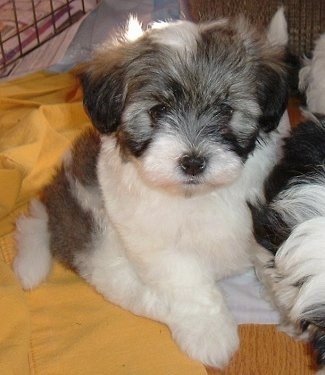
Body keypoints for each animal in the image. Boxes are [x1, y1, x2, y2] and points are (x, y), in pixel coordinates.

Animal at [13, 10, 288, 368]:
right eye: (158, 111)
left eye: (226, 110)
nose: (193, 162)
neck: (198, 194)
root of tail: (55, 200)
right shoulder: (156, 243)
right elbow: (188, 282)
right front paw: (209, 333)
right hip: (101, 246)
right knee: (135, 292)